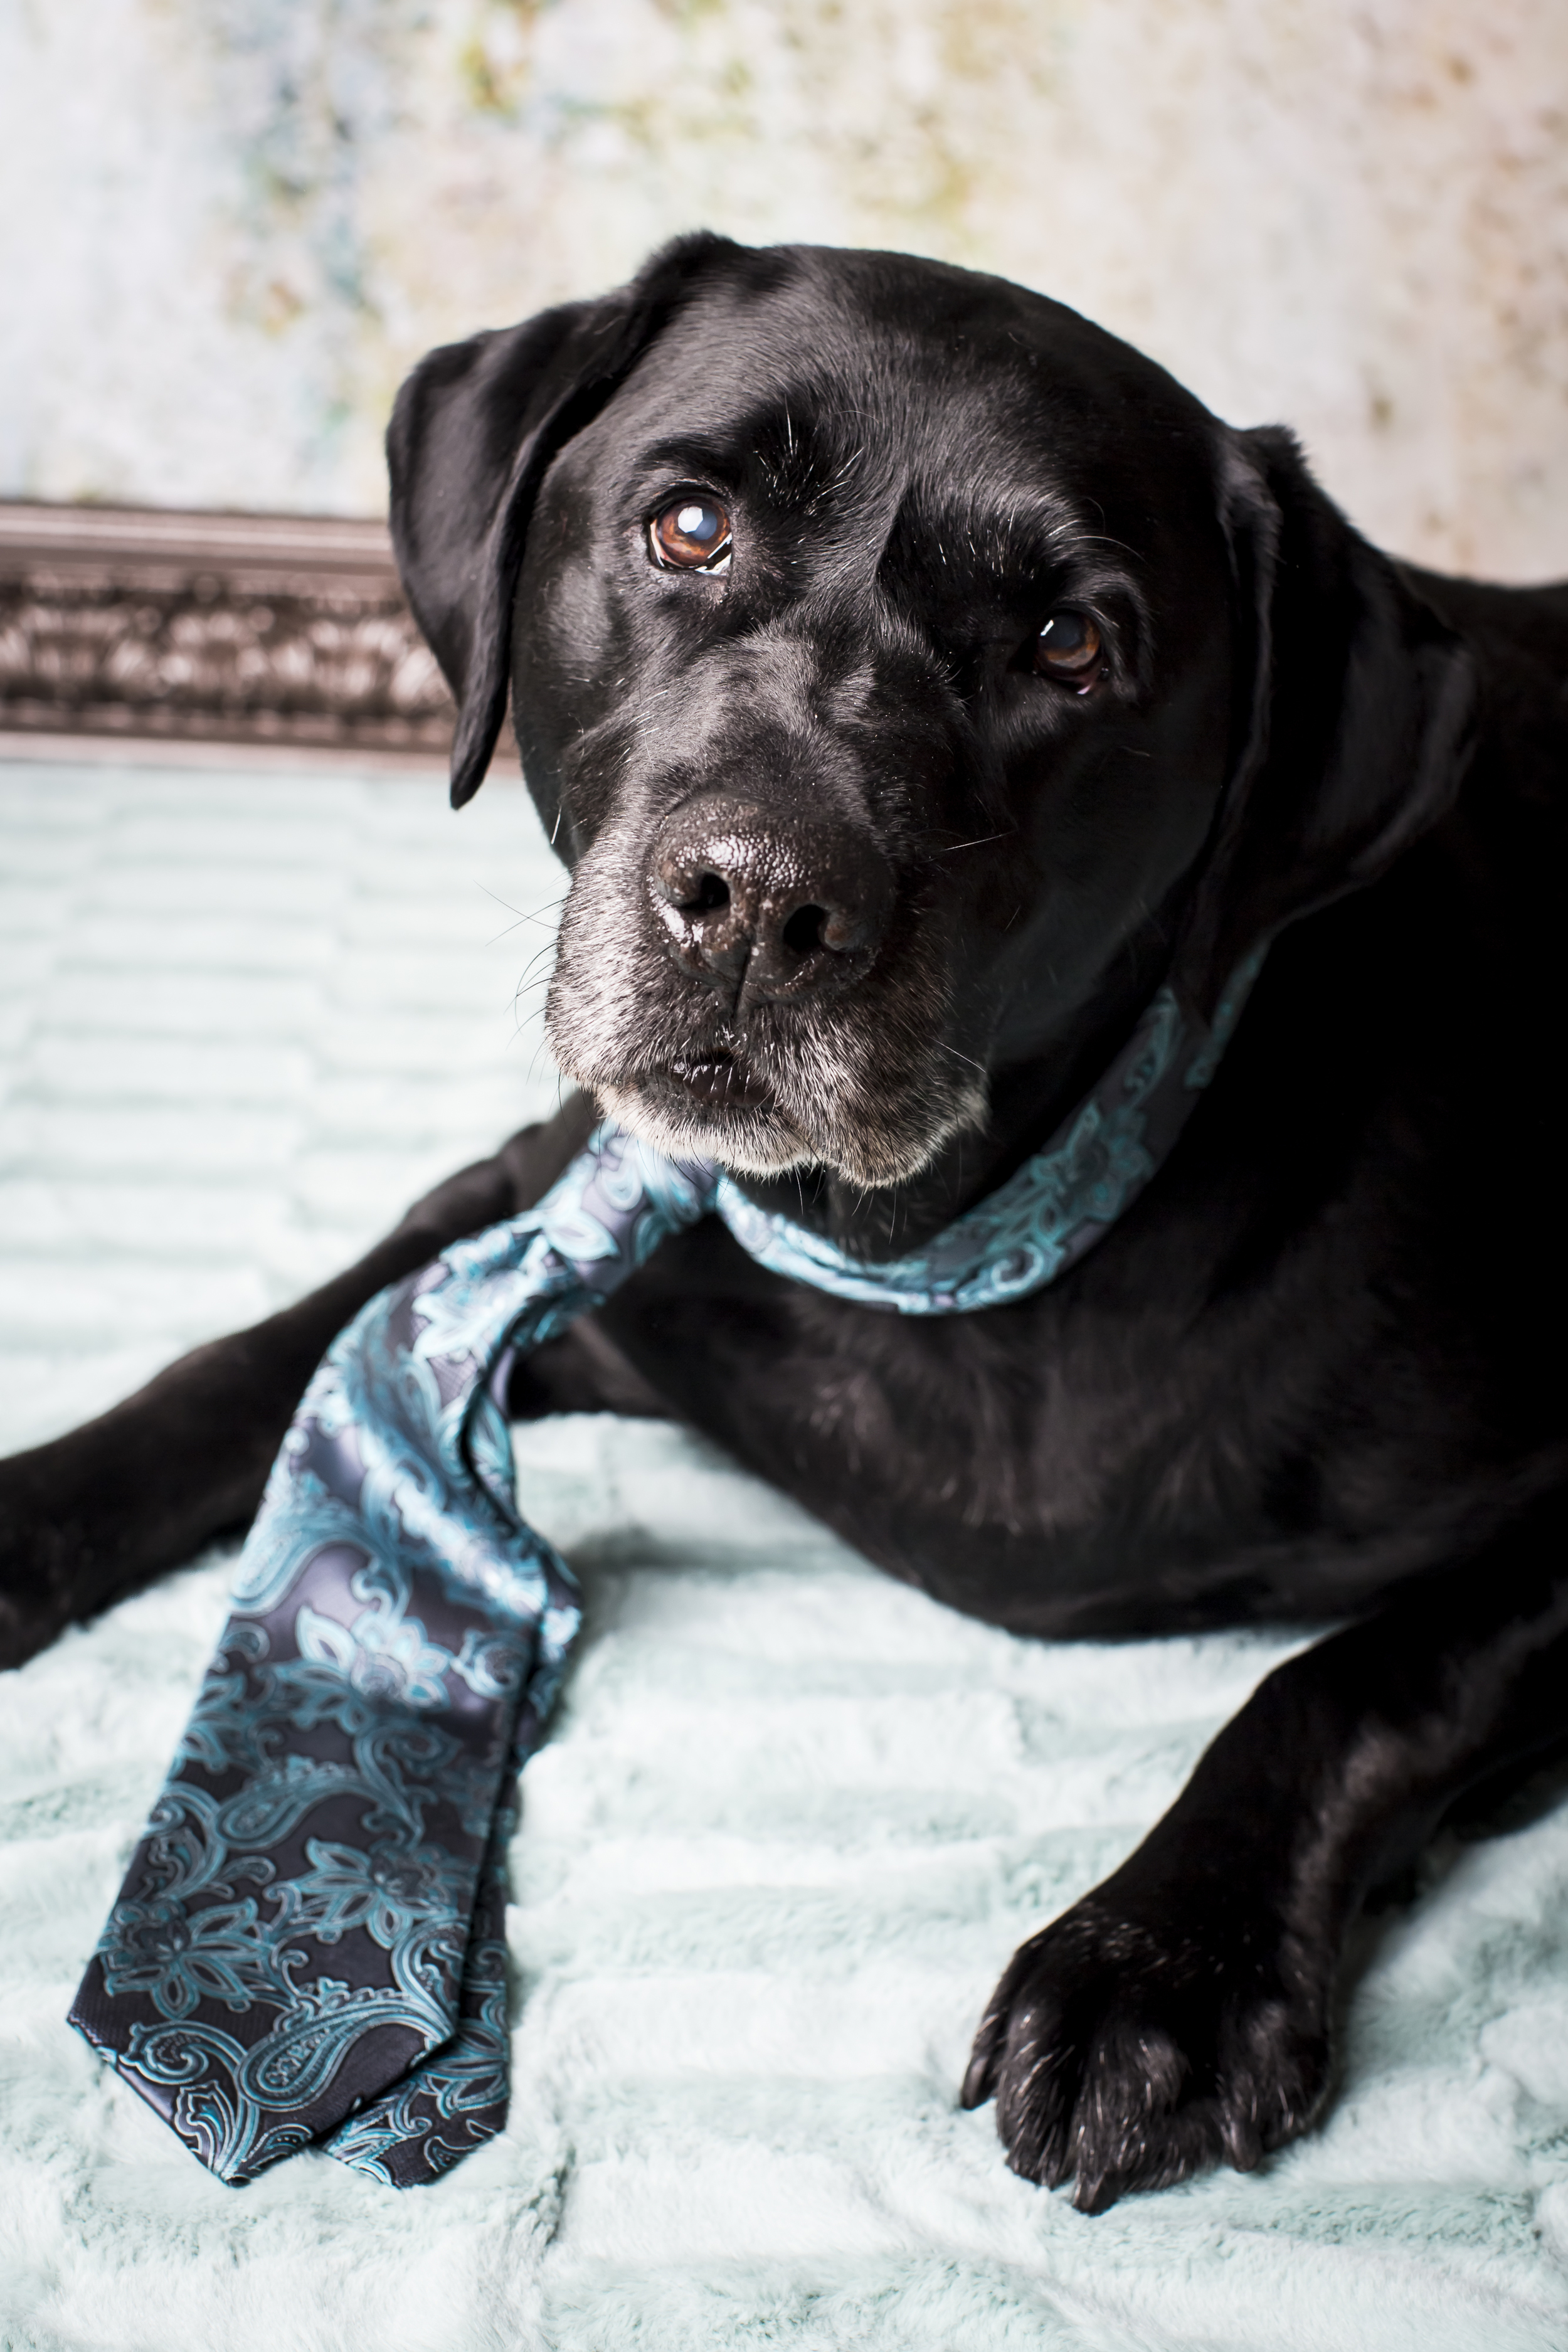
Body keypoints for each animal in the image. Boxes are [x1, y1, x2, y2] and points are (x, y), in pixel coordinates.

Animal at [3, 229, 1568, 2211]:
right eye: (687, 526)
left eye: (1070, 642)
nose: (758, 898)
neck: (929, 1249)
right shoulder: (535, 1205)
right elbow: (246, 1366)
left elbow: (1352, 1678)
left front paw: (1159, 1967)